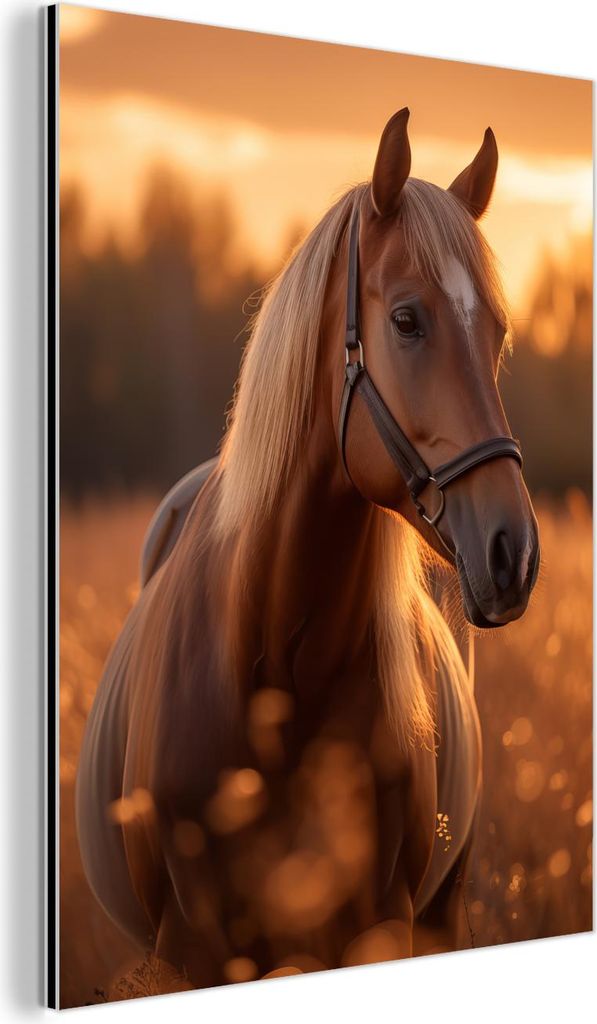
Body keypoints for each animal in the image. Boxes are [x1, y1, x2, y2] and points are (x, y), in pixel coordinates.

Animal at [75, 107, 540, 989]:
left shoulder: (380, 926)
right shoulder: (195, 950)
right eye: (406, 320)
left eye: (497, 331)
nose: (513, 554)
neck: (273, 668)